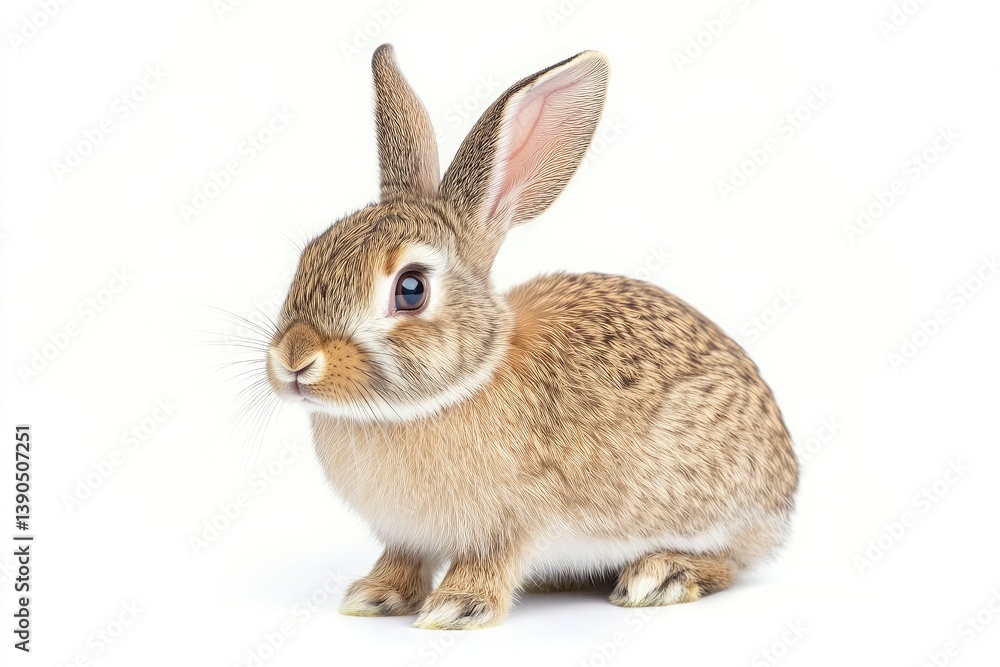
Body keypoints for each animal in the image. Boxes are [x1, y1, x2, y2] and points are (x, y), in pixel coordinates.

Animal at [264, 43, 798, 630]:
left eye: (411, 289)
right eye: (309, 255)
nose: (295, 358)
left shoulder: (511, 526)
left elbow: (487, 565)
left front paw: (455, 608)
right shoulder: (405, 537)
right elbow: (401, 560)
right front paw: (375, 596)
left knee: (731, 562)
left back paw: (662, 577)